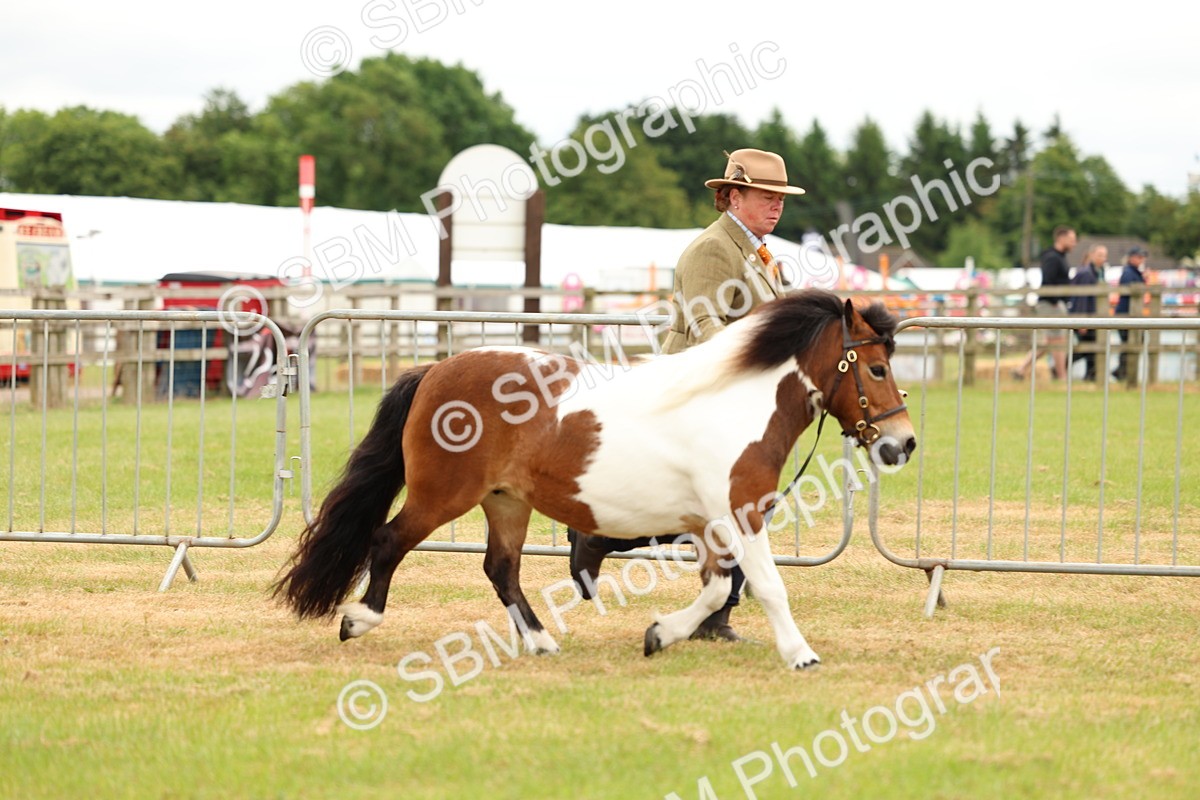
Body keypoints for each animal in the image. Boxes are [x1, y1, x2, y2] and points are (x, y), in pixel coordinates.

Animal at [274, 289, 915, 669]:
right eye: (876, 367)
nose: (903, 443)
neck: (735, 402)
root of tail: (433, 371)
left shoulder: (711, 524)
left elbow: (715, 588)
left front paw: (660, 634)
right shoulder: (741, 513)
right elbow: (768, 585)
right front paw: (800, 653)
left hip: (505, 502)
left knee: (501, 569)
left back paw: (539, 640)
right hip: (443, 495)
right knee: (387, 540)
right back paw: (358, 620)